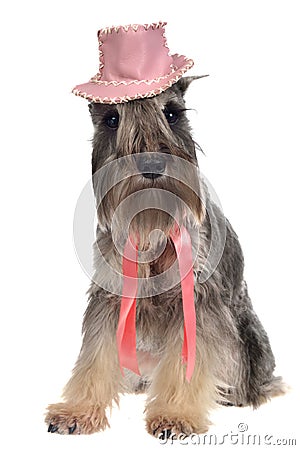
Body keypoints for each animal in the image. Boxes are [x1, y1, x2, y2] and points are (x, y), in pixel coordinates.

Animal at [45, 22, 284, 440]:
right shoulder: (110, 296)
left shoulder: (199, 302)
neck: (152, 224)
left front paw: (176, 415)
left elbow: (189, 362)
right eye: (112, 120)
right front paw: (78, 409)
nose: (153, 164)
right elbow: (95, 356)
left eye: (172, 113)